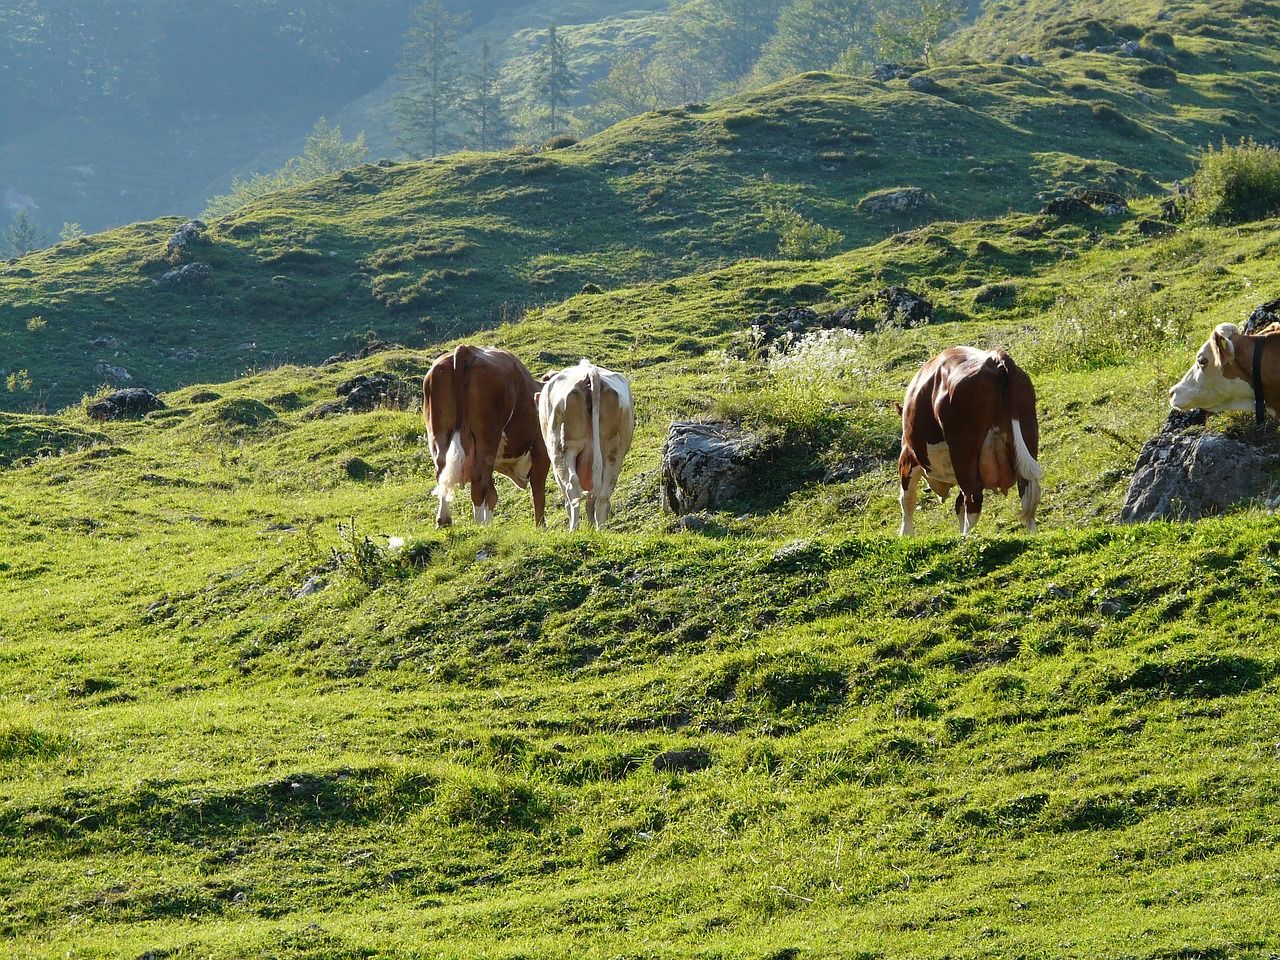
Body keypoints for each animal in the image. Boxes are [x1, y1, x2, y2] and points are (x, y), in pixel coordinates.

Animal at [424, 343, 550, 527]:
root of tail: (466, 350)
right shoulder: (541, 451)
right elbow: (538, 494)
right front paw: (540, 527)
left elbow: (492, 495)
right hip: (487, 437)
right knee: (478, 479)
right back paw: (477, 525)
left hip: (439, 432)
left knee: (441, 470)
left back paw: (445, 520)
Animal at [535, 358, 634, 529]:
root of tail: (590, 373)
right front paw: (591, 525)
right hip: (614, 453)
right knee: (603, 493)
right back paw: (600, 529)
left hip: (564, 448)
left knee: (572, 487)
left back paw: (574, 528)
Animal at [896, 348, 1044, 542]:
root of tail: (995, 359)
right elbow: (958, 505)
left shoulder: (908, 457)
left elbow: (907, 499)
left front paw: (905, 534)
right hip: (1027, 432)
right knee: (1027, 492)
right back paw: (1032, 534)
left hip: (963, 450)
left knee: (973, 497)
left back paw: (967, 536)